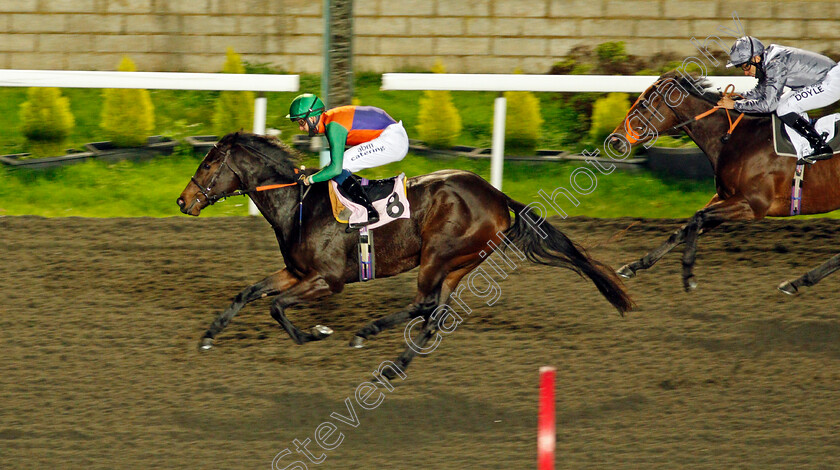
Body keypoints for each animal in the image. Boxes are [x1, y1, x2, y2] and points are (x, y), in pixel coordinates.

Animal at [174, 132, 632, 378]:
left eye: (209, 162)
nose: (182, 201)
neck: (299, 205)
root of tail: (499, 197)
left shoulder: (327, 280)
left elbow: (277, 307)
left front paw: (315, 333)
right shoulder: (296, 272)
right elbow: (250, 293)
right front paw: (209, 335)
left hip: (438, 254)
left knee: (425, 305)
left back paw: (367, 333)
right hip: (460, 263)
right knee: (436, 314)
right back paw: (396, 363)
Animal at [608, 70, 840, 294]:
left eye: (643, 103)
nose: (614, 140)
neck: (738, 139)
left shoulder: (753, 204)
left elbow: (698, 217)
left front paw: (688, 275)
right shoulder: (725, 196)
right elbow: (683, 229)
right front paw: (634, 265)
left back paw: (800, 280)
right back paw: (798, 281)